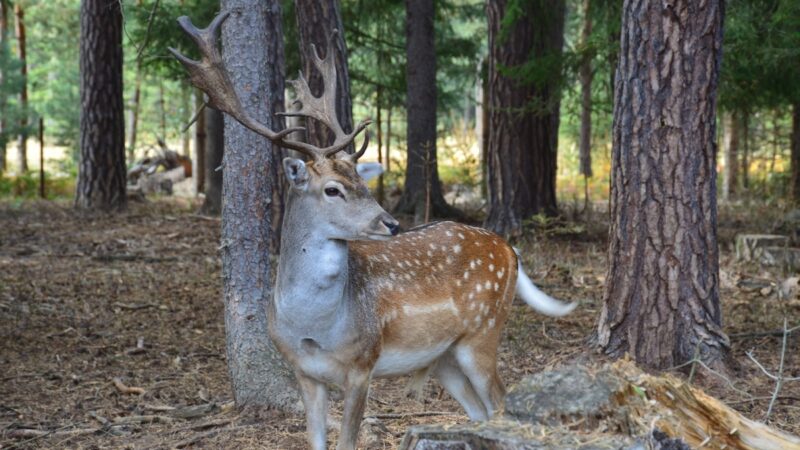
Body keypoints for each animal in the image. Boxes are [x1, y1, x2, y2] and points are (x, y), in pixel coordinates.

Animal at [173, 14, 576, 450]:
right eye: (333, 189)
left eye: (363, 183)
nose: (392, 222)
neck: (314, 328)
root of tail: (509, 249)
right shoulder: (303, 371)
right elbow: (316, 441)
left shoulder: (362, 364)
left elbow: (348, 441)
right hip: (444, 358)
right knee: (481, 413)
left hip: (483, 332)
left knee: (501, 403)